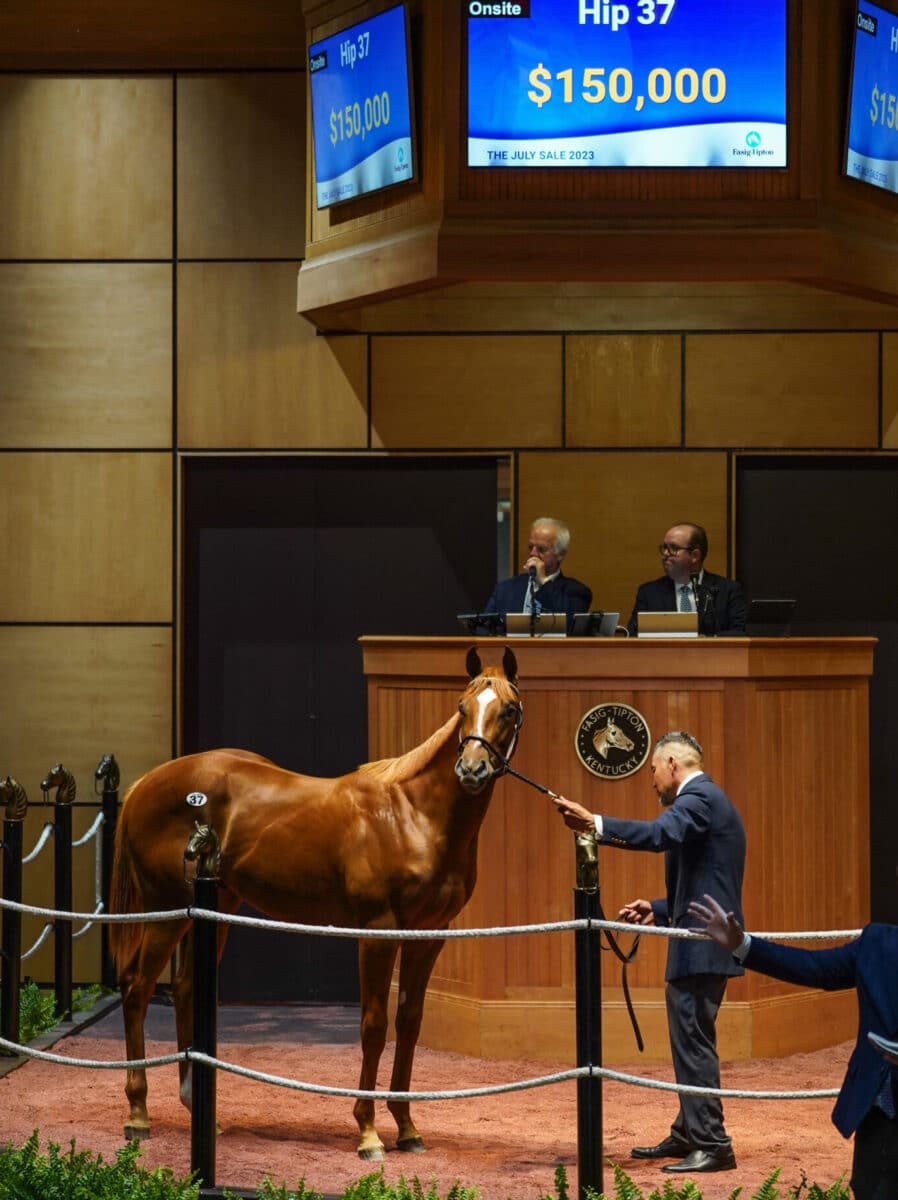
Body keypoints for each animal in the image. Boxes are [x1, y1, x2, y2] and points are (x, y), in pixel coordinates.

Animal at [109, 648, 523, 1161]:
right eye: (462, 707)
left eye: (509, 710)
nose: (471, 770)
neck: (413, 815)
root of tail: (148, 782)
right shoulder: (378, 933)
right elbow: (373, 1025)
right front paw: (368, 1133)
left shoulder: (429, 935)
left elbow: (408, 1023)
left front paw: (407, 1127)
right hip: (165, 911)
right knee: (137, 988)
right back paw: (138, 1115)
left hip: (213, 907)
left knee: (184, 990)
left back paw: (201, 1111)